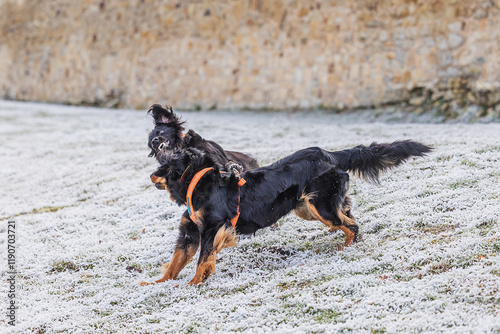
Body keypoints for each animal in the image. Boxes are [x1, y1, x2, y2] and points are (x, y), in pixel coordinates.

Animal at [141, 140, 430, 286]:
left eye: (166, 164)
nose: (150, 175)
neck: (200, 181)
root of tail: (330, 154)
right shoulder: (190, 233)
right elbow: (176, 262)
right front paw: (157, 283)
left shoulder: (214, 228)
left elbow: (202, 260)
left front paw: (194, 283)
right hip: (309, 206)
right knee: (349, 217)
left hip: (320, 205)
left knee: (351, 225)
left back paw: (347, 247)